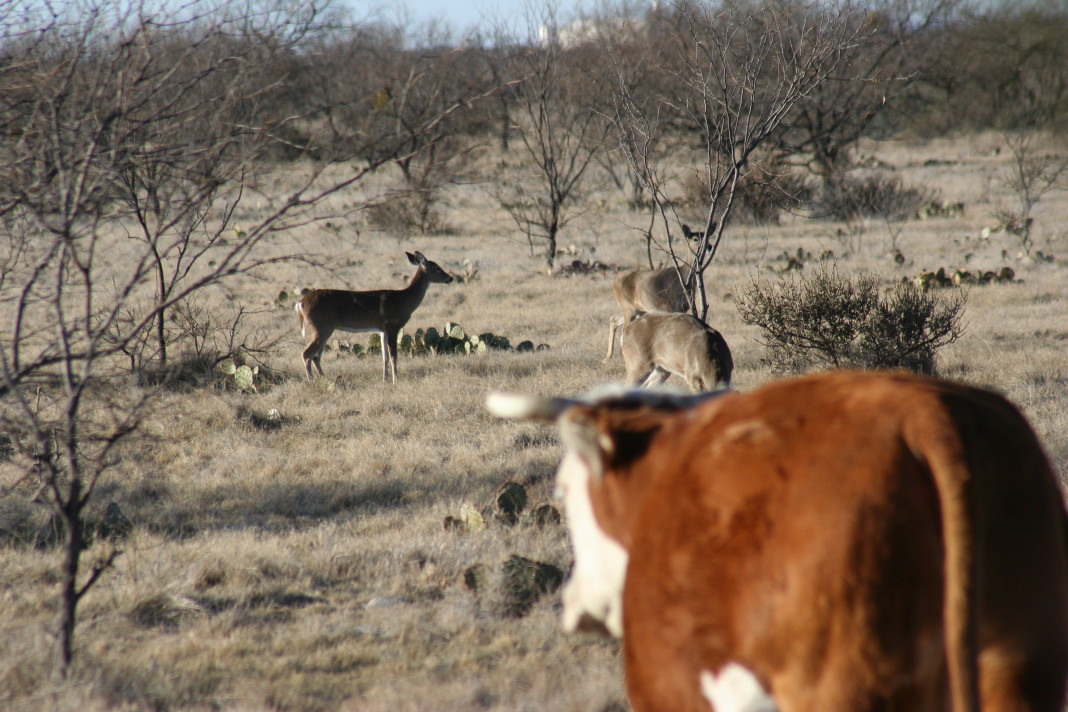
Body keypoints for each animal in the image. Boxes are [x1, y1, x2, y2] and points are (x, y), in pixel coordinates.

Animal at [296, 251, 454, 382]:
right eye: (437, 268)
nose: (450, 278)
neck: (404, 300)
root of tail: (301, 303)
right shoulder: (392, 326)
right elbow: (393, 355)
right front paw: (396, 379)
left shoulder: (382, 329)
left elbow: (384, 356)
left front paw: (385, 379)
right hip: (321, 327)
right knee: (306, 354)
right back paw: (311, 381)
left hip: (324, 328)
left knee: (316, 356)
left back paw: (324, 378)